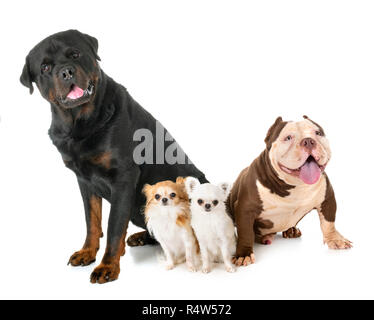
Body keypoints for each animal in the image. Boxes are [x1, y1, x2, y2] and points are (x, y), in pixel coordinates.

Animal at [19, 30, 207, 284]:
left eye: (75, 54)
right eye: (45, 67)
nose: (66, 71)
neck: (80, 124)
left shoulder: (123, 179)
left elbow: (114, 226)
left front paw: (107, 266)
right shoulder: (85, 182)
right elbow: (92, 220)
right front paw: (87, 252)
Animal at [226, 116, 352, 266]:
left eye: (318, 133)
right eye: (288, 138)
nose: (308, 141)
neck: (295, 186)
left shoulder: (327, 199)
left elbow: (329, 223)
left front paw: (335, 239)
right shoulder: (245, 209)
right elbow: (245, 233)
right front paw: (243, 254)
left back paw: (291, 230)